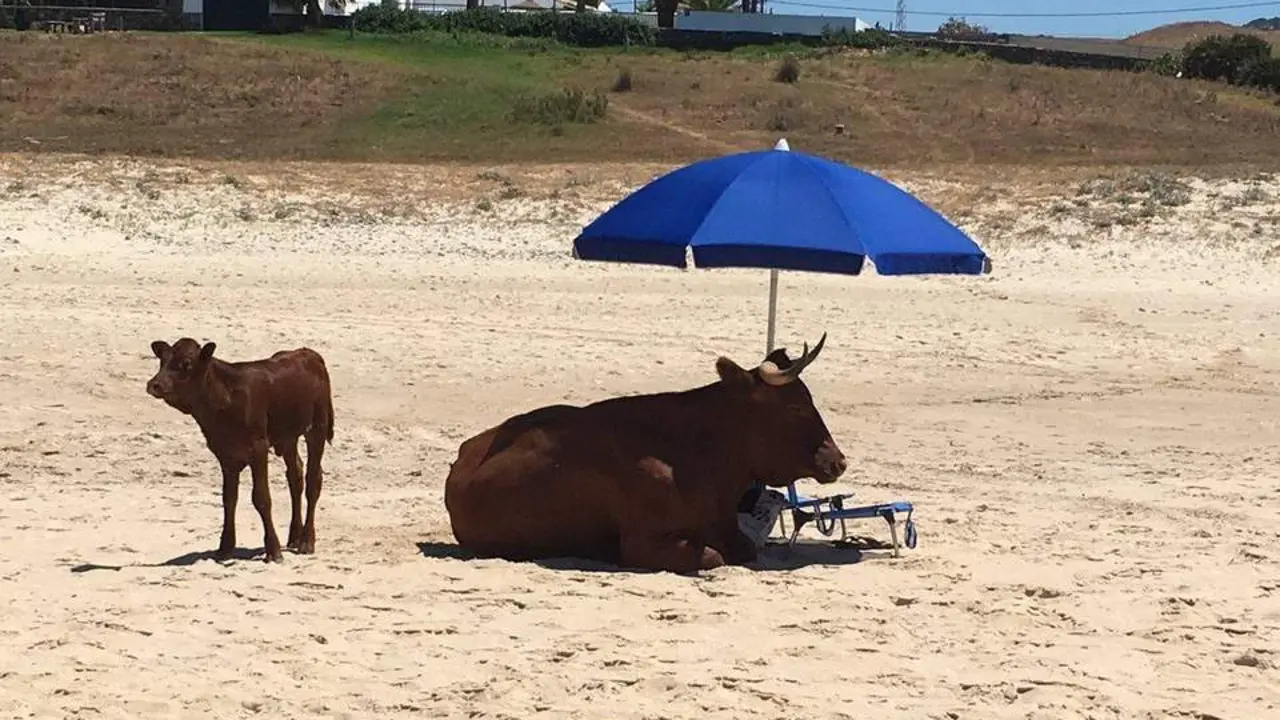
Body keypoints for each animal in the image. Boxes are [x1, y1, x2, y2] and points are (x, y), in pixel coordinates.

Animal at [145, 337, 335, 564]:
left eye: (187, 364)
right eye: (162, 360)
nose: (154, 384)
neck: (225, 398)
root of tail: (308, 353)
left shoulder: (258, 448)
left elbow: (261, 498)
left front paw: (273, 550)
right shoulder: (225, 453)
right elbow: (229, 498)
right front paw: (225, 548)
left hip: (317, 428)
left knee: (313, 480)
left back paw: (306, 541)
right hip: (288, 437)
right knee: (295, 476)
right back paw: (294, 537)